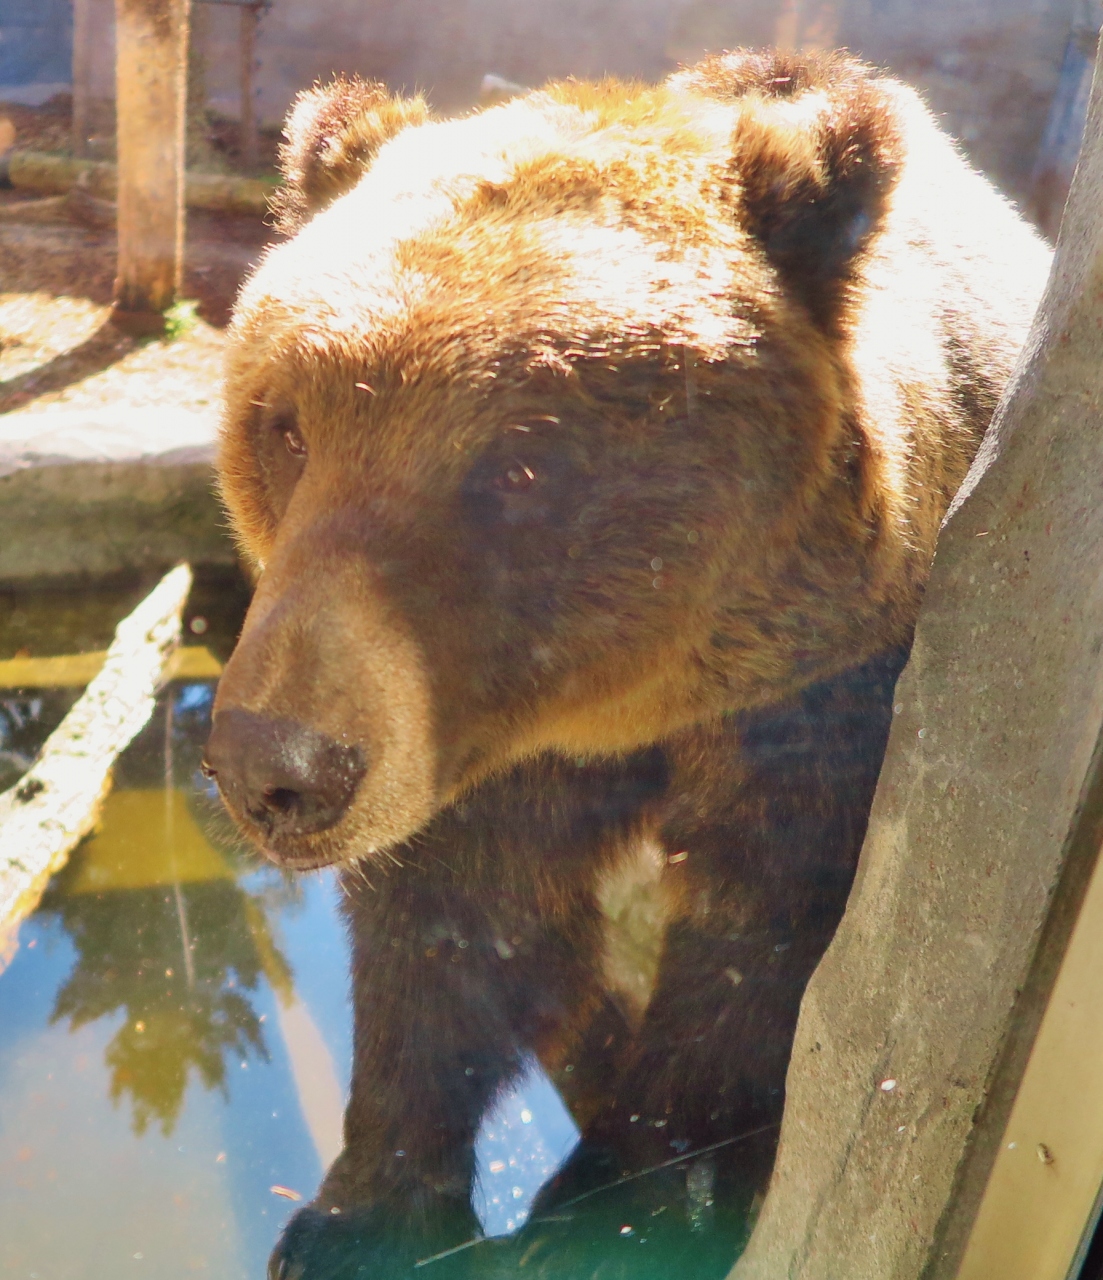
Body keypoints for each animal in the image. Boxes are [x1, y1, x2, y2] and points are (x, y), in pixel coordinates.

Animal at [203, 45, 1049, 1274]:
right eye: (288, 428)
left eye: (520, 467)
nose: (275, 765)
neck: (634, 706)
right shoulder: (485, 747)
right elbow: (453, 927)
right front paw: (360, 1215)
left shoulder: (822, 704)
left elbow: (761, 946)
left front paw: (610, 1212)